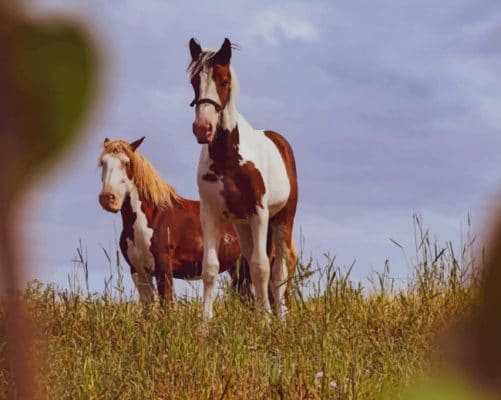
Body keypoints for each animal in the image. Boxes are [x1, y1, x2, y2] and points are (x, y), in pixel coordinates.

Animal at [97, 137, 252, 304]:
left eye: (126, 163)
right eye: (103, 163)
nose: (107, 199)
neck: (151, 219)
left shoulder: (163, 269)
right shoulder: (139, 271)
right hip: (238, 268)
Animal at [188, 37, 296, 318]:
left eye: (224, 80)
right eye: (194, 80)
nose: (203, 129)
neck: (228, 160)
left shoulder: (259, 212)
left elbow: (262, 267)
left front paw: (266, 321)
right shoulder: (210, 214)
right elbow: (210, 268)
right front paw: (205, 322)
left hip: (281, 219)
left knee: (278, 269)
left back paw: (280, 317)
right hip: (243, 225)